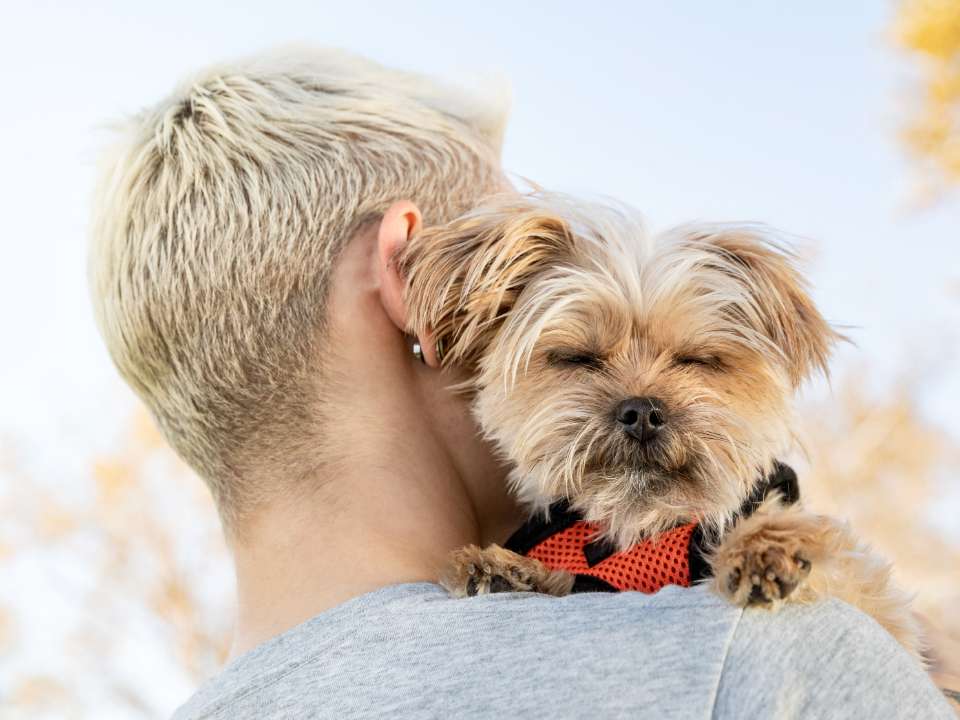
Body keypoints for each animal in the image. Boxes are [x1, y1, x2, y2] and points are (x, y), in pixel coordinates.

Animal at [398, 193, 924, 664]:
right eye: (578, 358)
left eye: (696, 359)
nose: (642, 411)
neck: (642, 525)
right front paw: (506, 568)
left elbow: (847, 570)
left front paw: (770, 547)